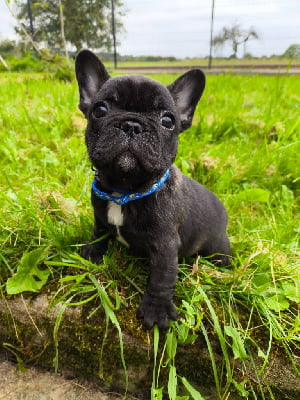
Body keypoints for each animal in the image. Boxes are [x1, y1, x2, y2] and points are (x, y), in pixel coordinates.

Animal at [75, 50, 230, 332]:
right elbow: (99, 233)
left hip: (218, 250)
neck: (124, 191)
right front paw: (92, 252)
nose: (131, 125)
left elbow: (161, 277)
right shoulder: (100, 215)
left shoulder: (165, 245)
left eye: (167, 121)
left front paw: (156, 311)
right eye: (99, 110)